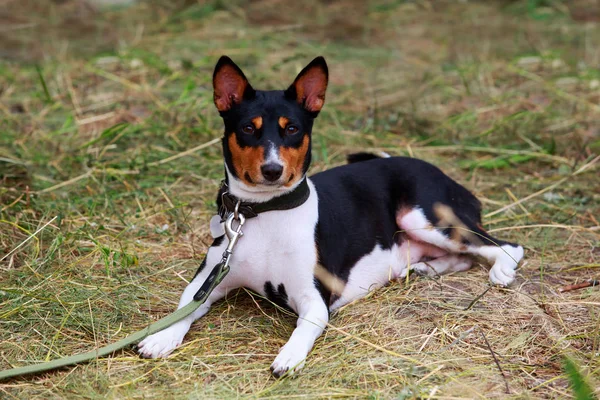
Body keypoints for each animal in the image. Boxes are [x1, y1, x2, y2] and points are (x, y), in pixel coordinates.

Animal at [137, 56, 524, 378]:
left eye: (292, 129)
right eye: (248, 128)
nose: (273, 170)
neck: (264, 213)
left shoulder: (315, 300)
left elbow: (303, 330)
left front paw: (289, 355)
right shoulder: (206, 283)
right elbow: (184, 309)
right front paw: (163, 336)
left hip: (423, 218)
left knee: (505, 246)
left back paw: (500, 271)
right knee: (463, 258)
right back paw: (424, 268)